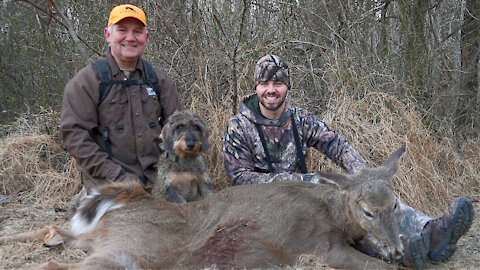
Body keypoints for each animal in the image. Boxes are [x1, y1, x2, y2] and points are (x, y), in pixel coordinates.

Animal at [0, 147, 406, 268]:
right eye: (367, 211)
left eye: (396, 204)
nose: (399, 249)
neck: (333, 217)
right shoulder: (318, 246)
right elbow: (375, 267)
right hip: (129, 253)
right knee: (54, 263)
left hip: (99, 241)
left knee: (57, 232)